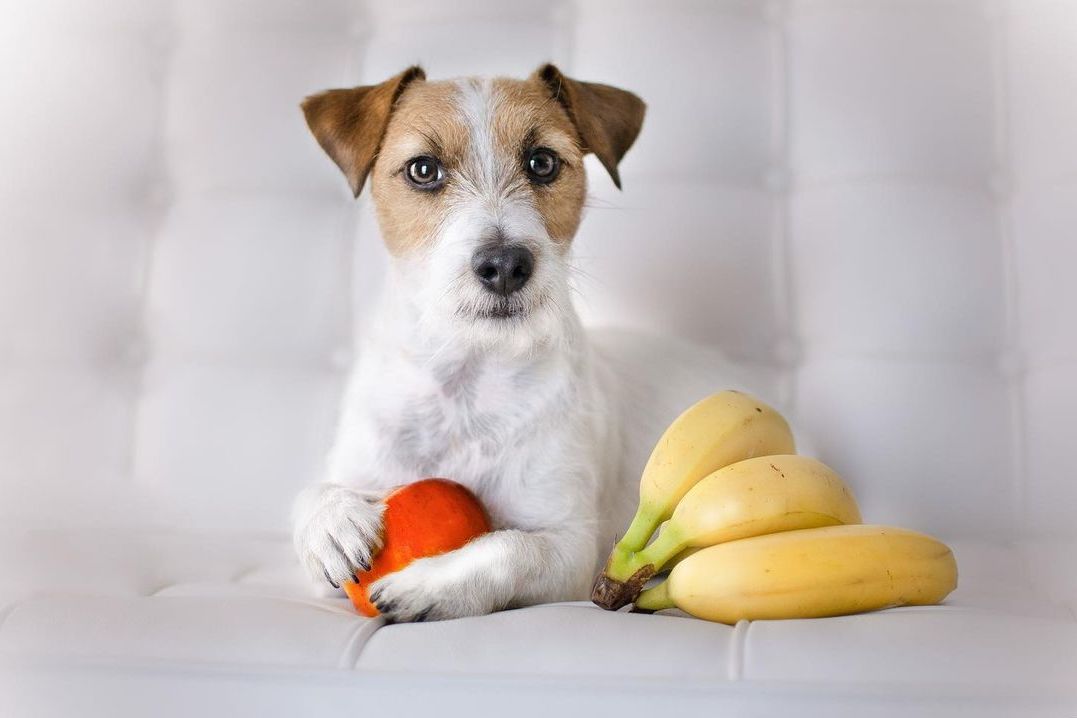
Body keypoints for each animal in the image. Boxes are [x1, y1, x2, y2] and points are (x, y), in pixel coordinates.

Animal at [290, 64, 779, 620]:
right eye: (423, 170)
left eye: (542, 162)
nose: (505, 265)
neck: (469, 374)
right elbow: (310, 495)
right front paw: (332, 521)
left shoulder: (570, 549)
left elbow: (509, 546)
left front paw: (432, 584)